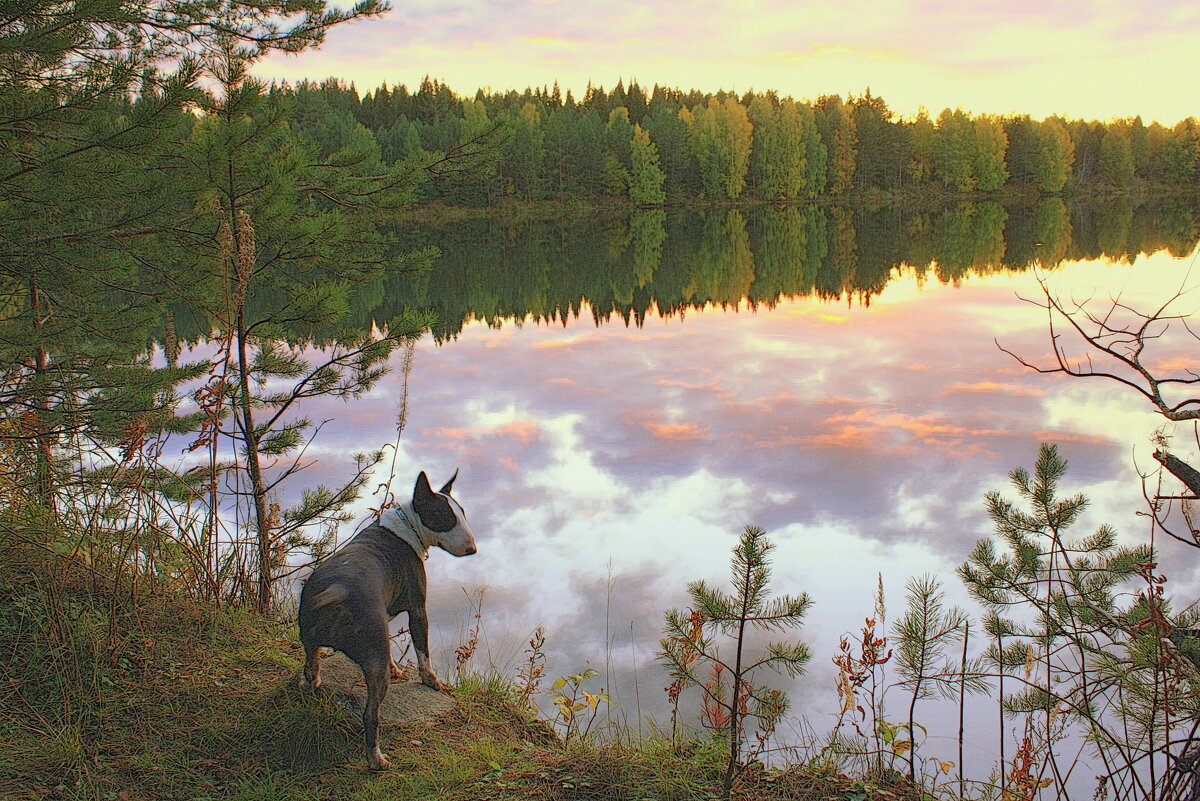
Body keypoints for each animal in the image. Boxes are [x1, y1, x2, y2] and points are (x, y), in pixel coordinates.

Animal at [297, 470, 475, 767]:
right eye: (445, 518)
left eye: (463, 513)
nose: (472, 550)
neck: (407, 528)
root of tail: (335, 594)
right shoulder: (418, 609)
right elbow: (423, 651)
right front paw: (432, 681)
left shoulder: (386, 615)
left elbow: (391, 644)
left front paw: (397, 667)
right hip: (374, 663)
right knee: (371, 714)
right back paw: (377, 760)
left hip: (311, 641)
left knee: (311, 667)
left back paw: (312, 686)